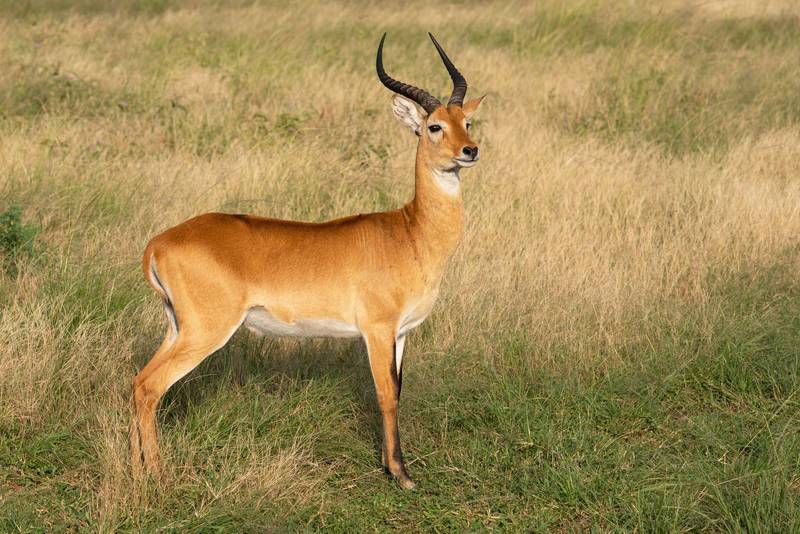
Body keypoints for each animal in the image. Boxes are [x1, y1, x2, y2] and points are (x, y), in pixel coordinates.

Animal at [130, 32, 484, 490]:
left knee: (138, 382)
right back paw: (157, 476)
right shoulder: (377, 330)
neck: (411, 232)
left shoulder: (402, 333)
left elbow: (398, 391)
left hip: (177, 327)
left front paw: (390, 466)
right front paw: (402, 475)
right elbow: (387, 395)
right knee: (150, 387)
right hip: (206, 331)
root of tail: (158, 242)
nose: (470, 151)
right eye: (434, 125)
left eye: (467, 122)